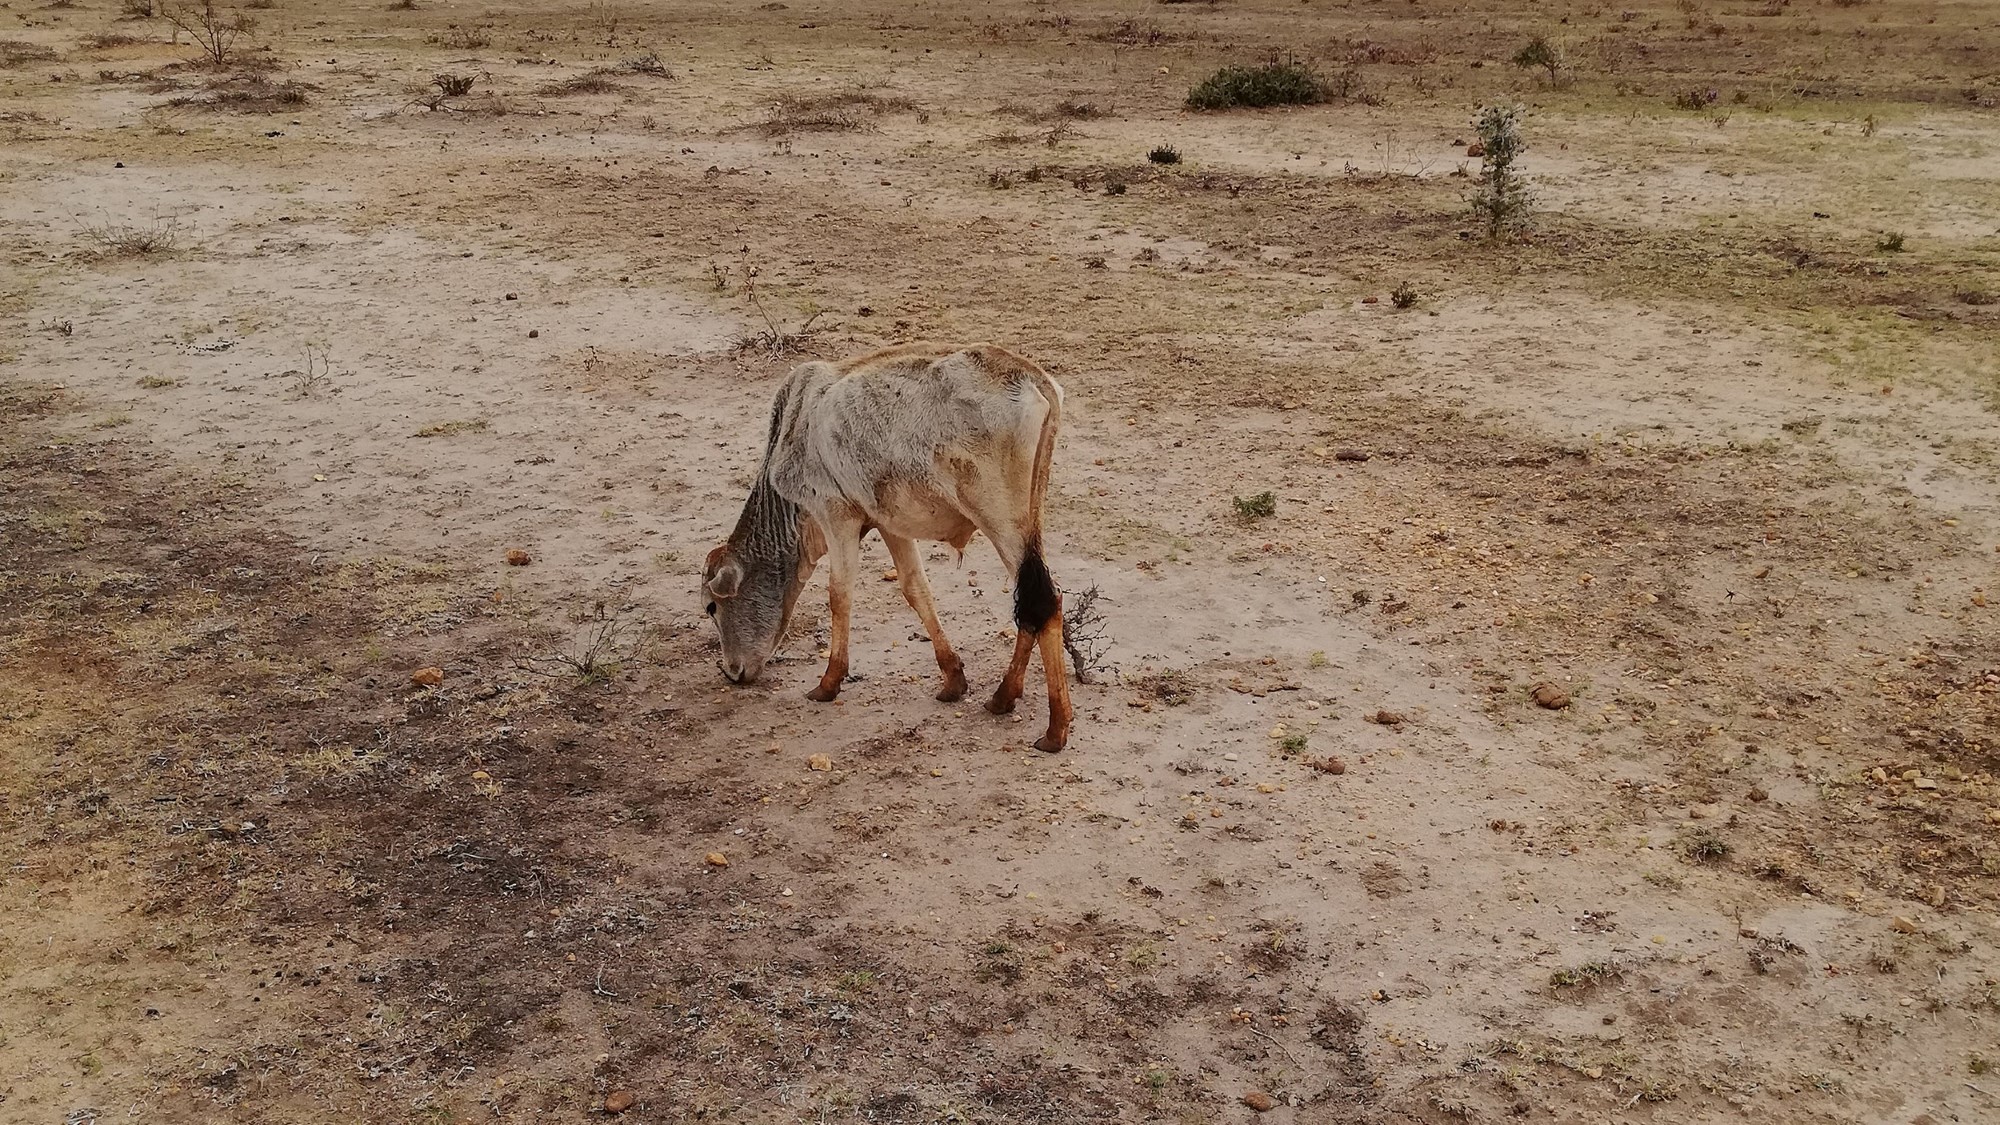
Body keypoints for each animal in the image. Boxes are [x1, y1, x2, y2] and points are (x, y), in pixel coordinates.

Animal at [708, 336, 1080, 748]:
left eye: (712, 607)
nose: (731, 672)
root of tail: (1029, 375)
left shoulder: (836, 515)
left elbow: (839, 595)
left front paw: (829, 682)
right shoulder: (890, 525)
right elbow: (916, 589)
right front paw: (953, 679)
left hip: (1000, 519)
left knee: (1042, 600)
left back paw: (1055, 728)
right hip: (1026, 524)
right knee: (1034, 602)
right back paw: (1003, 697)